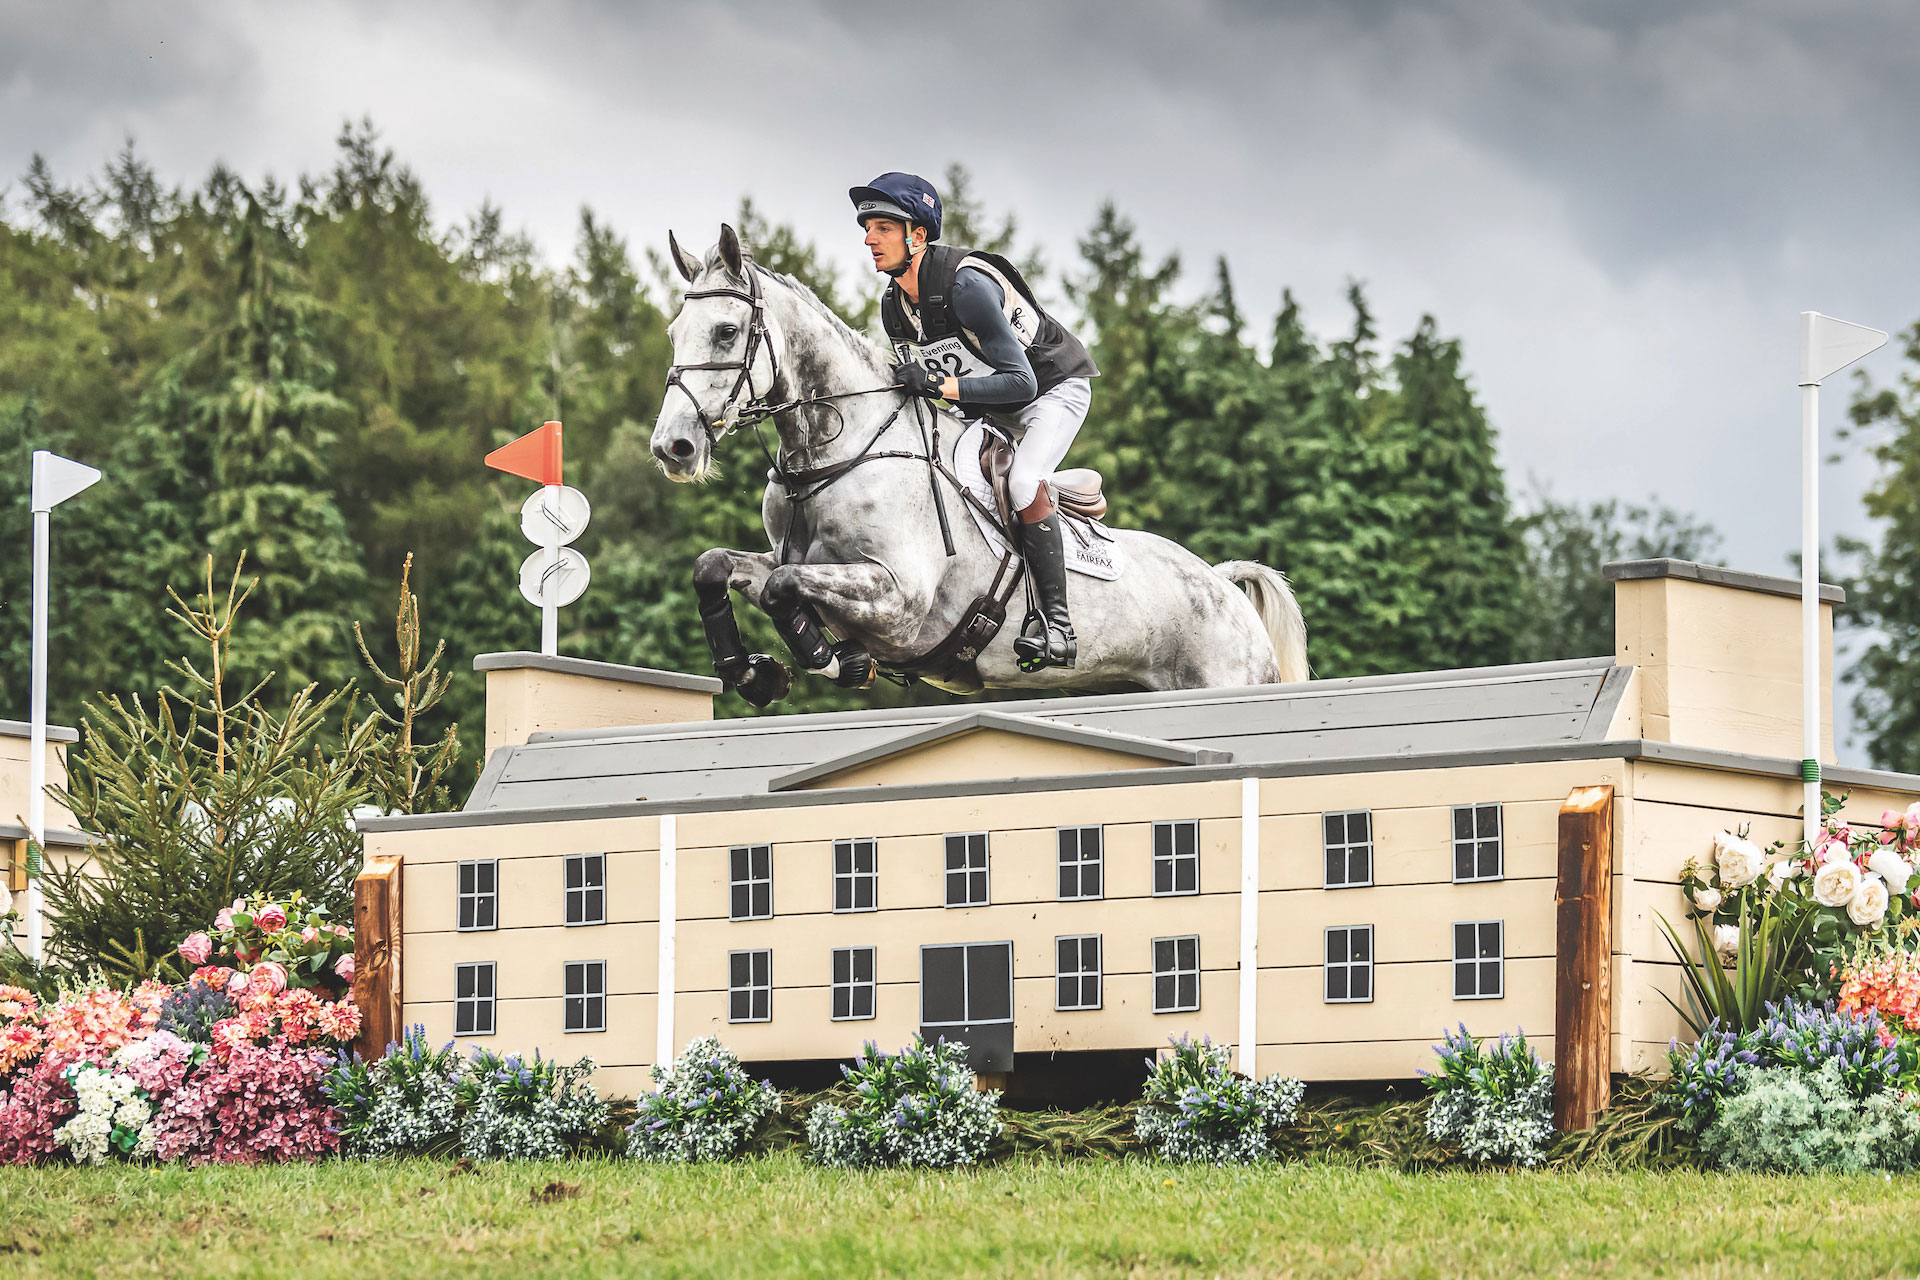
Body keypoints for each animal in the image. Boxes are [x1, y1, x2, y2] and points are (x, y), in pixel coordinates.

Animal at [648, 227, 1305, 710]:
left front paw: (835, 661)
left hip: (1222, 682)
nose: (672, 448)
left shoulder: (900, 602)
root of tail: (1224, 586)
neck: (839, 453)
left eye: (727, 330)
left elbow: (785, 588)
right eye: (673, 333)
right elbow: (717, 567)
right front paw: (753, 673)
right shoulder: (793, 561)